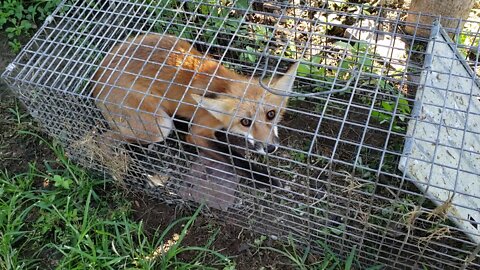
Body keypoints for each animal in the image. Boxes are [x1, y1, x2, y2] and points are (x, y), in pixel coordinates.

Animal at [92, 33, 298, 188]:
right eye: (245, 122)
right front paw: (264, 179)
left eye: (271, 114)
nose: (270, 148)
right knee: (103, 139)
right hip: (160, 127)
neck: (224, 86)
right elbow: (235, 158)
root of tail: (96, 78)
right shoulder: (198, 132)